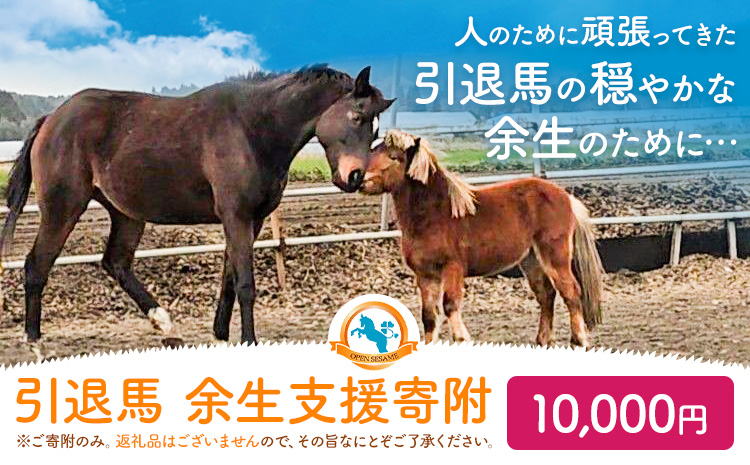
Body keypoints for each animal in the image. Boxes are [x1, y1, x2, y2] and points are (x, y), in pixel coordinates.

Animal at [0, 65, 394, 346]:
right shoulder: (236, 215)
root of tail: (51, 119)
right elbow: (246, 283)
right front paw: (249, 340)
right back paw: (35, 343)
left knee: (115, 262)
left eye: (375, 130)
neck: (252, 128)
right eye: (356, 117)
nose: (355, 177)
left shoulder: (252, 220)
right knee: (36, 265)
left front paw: (221, 335)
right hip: (63, 207)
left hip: (126, 214)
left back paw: (164, 323)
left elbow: (229, 279)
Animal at [359, 130, 604, 347]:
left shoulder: (453, 269)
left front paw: (462, 339)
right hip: (531, 260)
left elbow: (450, 306)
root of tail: (567, 198)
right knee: (546, 295)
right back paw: (543, 340)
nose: (359, 181)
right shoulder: (425, 275)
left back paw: (579, 340)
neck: (435, 213)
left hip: (555, 257)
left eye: (394, 157)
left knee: (571, 292)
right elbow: (429, 316)